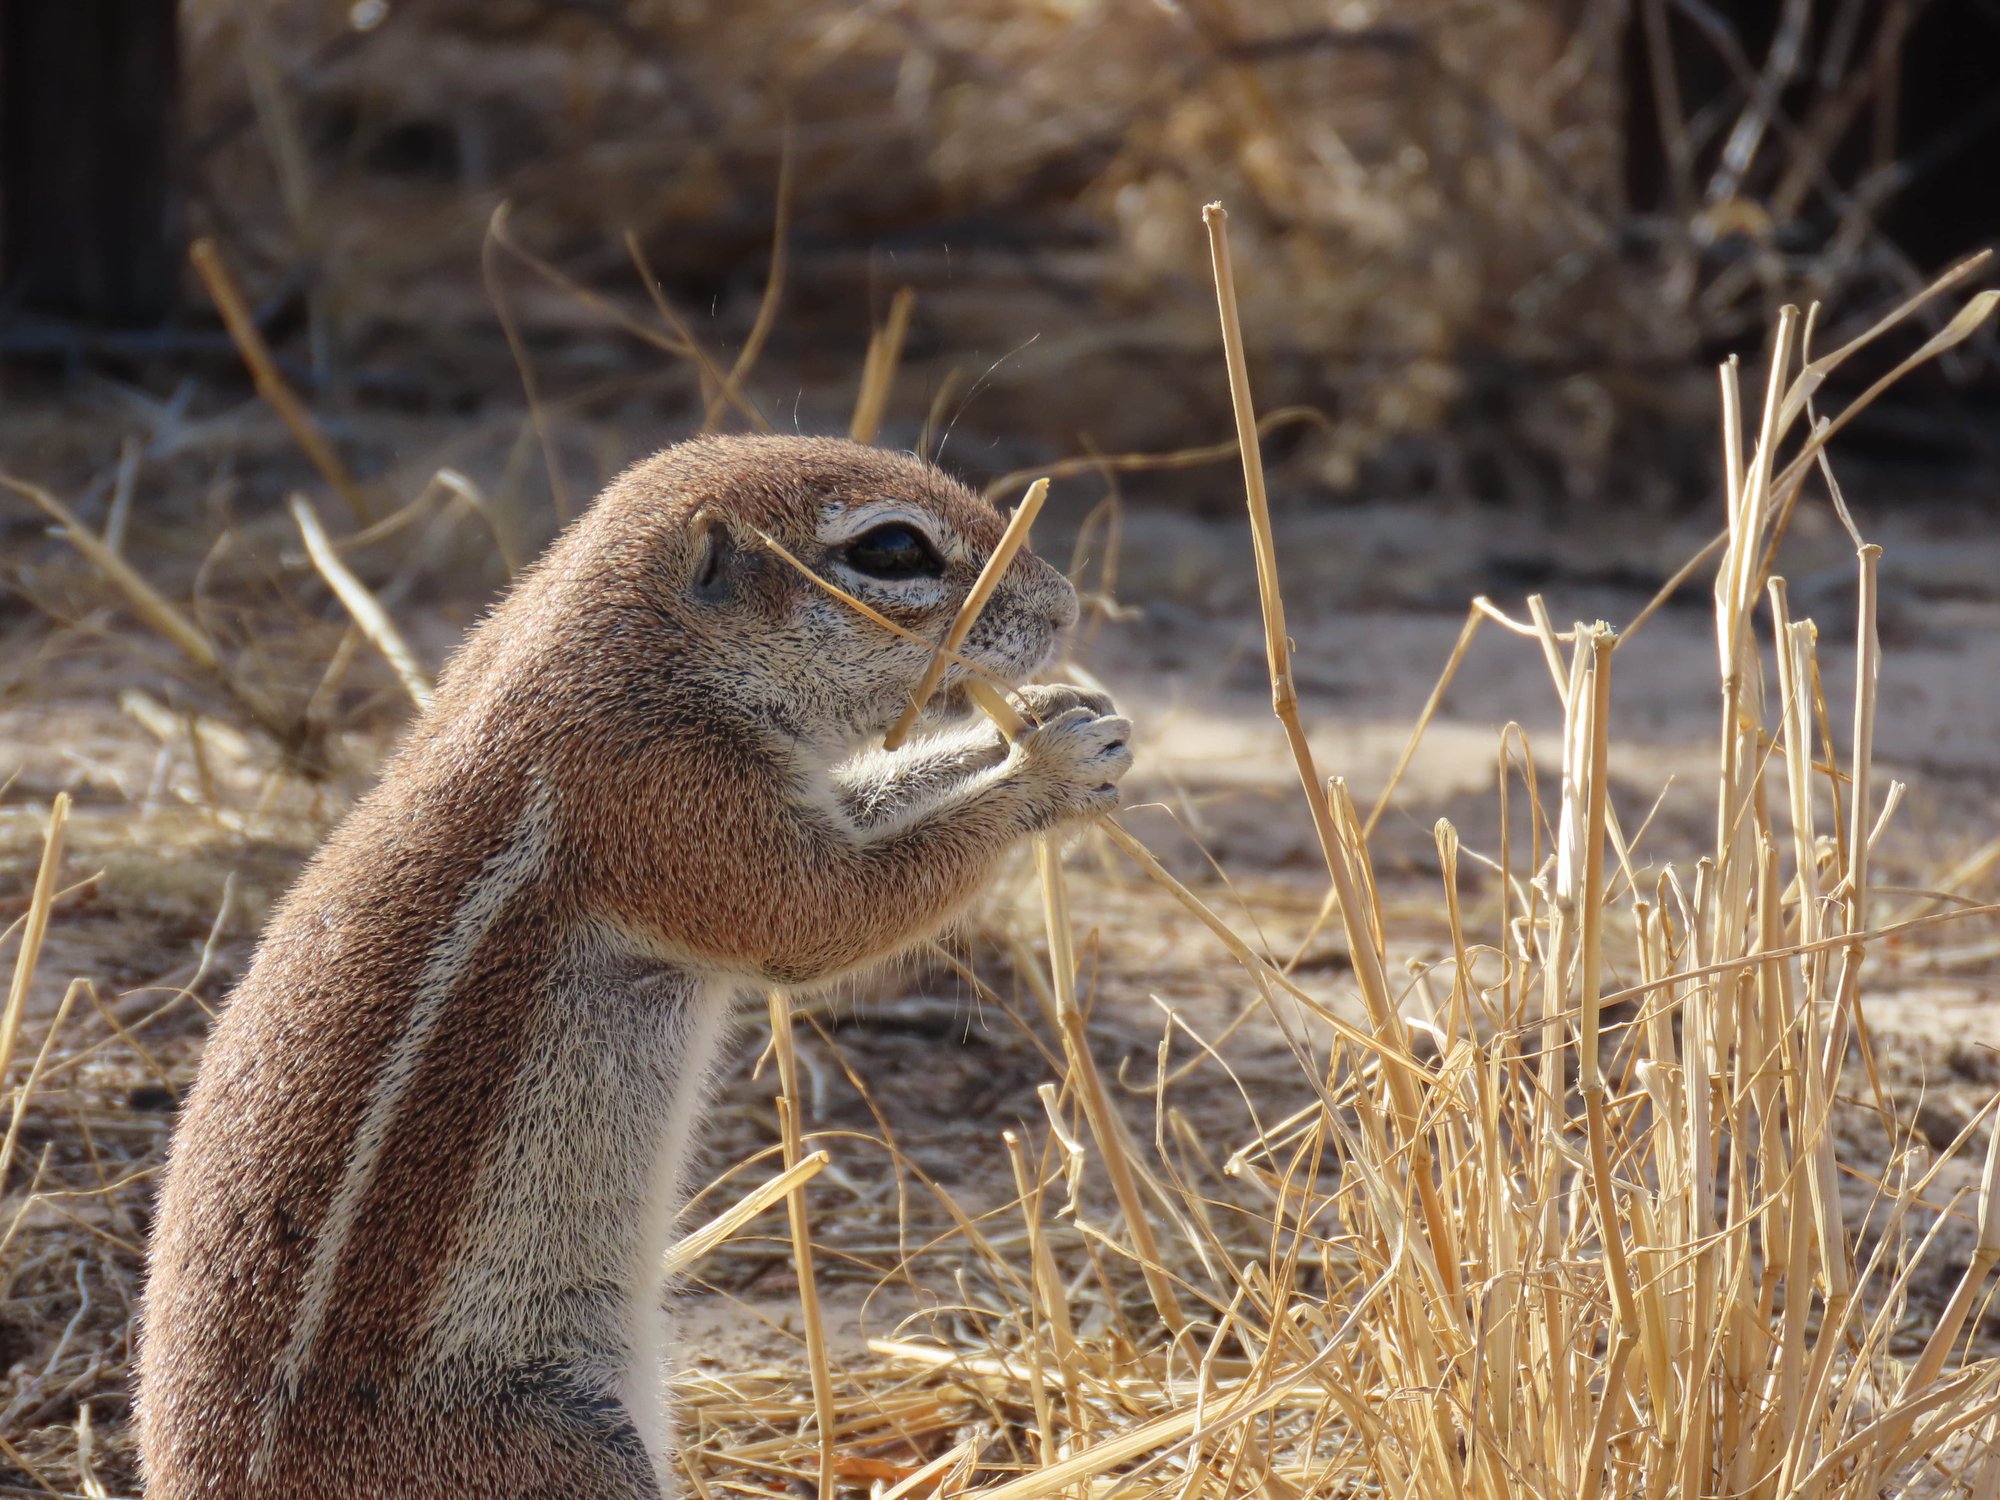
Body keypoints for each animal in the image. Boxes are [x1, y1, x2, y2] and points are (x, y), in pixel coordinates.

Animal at [136, 435, 1132, 1499]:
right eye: (895, 549)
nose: (1066, 605)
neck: (624, 651)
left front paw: (1048, 712)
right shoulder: (664, 790)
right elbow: (822, 913)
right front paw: (1051, 764)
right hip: (555, 1438)